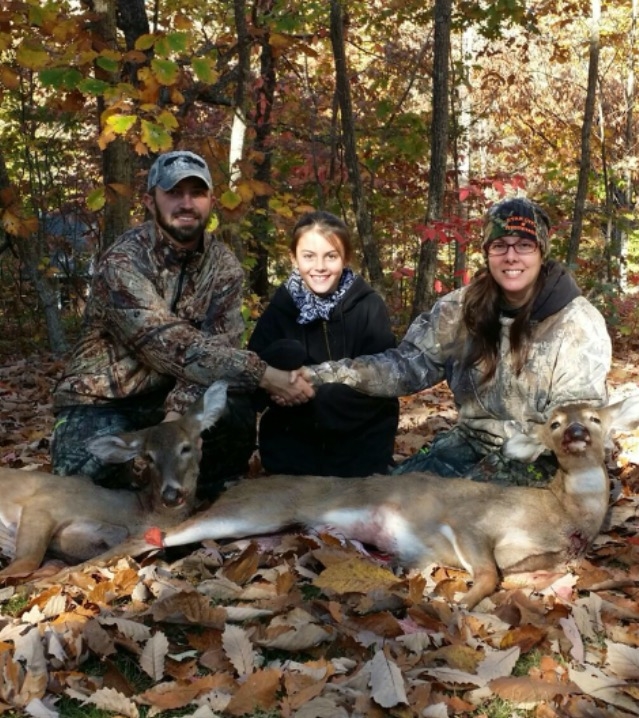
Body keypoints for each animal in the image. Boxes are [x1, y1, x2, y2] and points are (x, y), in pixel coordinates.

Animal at [0, 380, 229, 584]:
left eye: (185, 448)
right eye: (149, 457)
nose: (171, 495)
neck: (137, 512)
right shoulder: (46, 502)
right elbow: (27, 562)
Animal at [134, 396, 639, 612]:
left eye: (594, 418)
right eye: (555, 423)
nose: (577, 432)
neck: (563, 516)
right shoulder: (469, 521)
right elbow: (489, 575)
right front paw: (457, 599)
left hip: (265, 532)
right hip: (252, 509)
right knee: (155, 531)